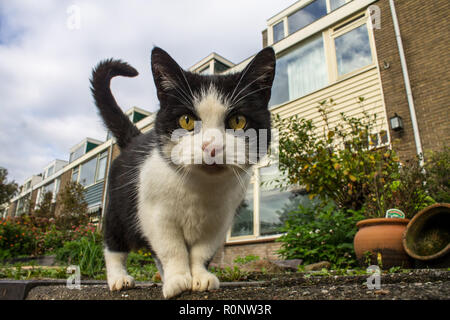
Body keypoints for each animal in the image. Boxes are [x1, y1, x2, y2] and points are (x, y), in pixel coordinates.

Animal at [90, 46, 274, 298]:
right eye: (186, 120)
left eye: (238, 121)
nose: (211, 147)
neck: (200, 190)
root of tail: (134, 139)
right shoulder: (156, 216)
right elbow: (171, 248)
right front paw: (177, 279)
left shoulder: (220, 221)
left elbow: (202, 251)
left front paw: (200, 277)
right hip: (118, 208)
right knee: (114, 245)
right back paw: (119, 278)